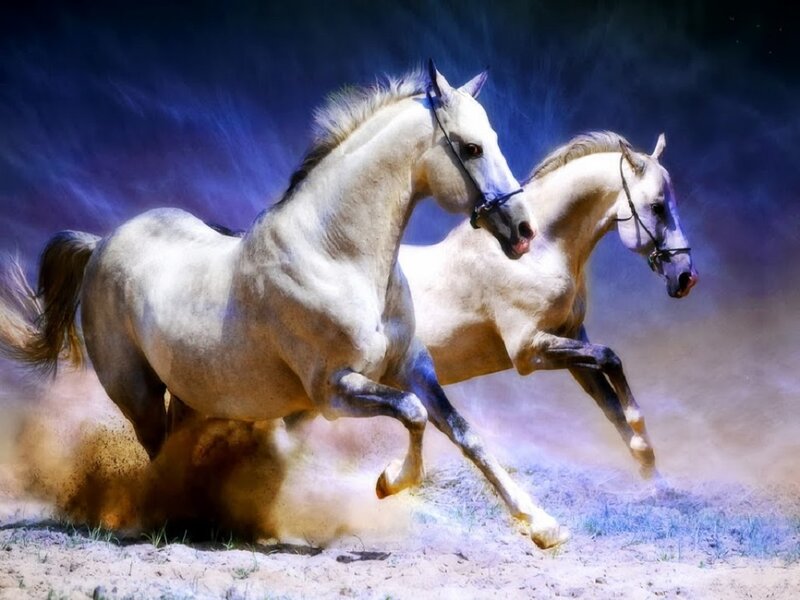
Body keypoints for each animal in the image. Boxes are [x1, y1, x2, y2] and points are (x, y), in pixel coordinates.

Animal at [0, 63, 572, 548]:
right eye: (471, 148)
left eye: (493, 141)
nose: (523, 231)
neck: (336, 255)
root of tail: (101, 243)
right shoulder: (332, 390)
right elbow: (411, 415)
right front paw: (389, 482)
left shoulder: (414, 366)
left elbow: (464, 433)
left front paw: (543, 526)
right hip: (136, 391)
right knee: (156, 452)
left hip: (190, 390)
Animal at [400, 131, 698, 480]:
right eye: (657, 206)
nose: (686, 277)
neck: (537, 253)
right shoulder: (528, 351)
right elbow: (610, 358)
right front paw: (640, 432)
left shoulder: (571, 339)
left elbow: (609, 403)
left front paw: (652, 475)